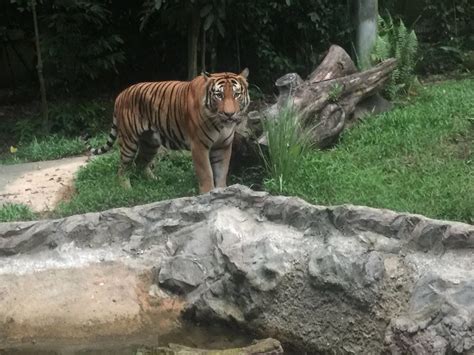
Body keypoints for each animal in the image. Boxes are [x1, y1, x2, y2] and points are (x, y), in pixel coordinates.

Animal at [83, 68, 250, 193]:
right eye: (219, 95)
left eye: (236, 94)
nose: (229, 114)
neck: (221, 123)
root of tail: (120, 95)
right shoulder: (199, 146)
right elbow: (206, 173)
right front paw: (208, 194)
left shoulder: (223, 146)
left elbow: (221, 172)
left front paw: (223, 192)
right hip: (129, 141)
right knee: (122, 167)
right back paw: (126, 188)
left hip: (150, 142)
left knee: (140, 162)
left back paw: (154, 181)